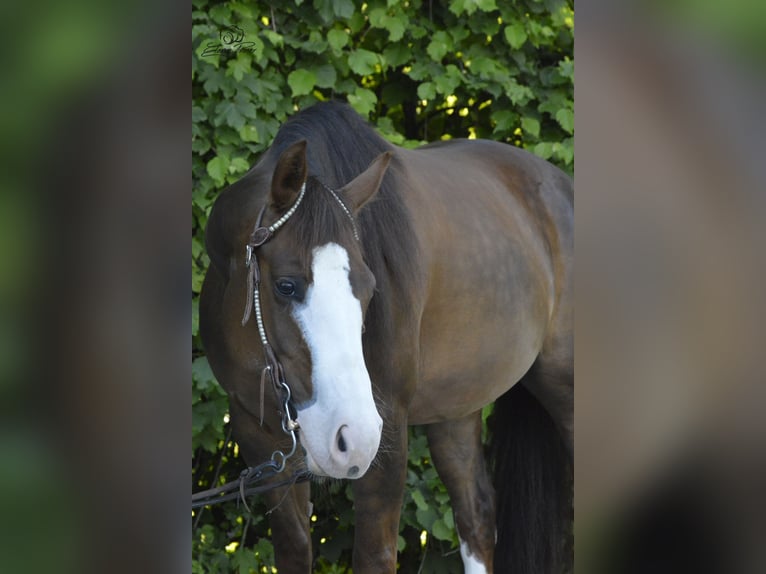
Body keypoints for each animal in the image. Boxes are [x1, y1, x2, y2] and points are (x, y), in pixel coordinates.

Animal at [199, 101, 573, 573]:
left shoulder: (388, 431)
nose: (351, 438)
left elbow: (374, 555)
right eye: (285, 285)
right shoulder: (256, 432)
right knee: (476, 514)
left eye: (370, 287)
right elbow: (295, 547)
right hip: (456, 406)